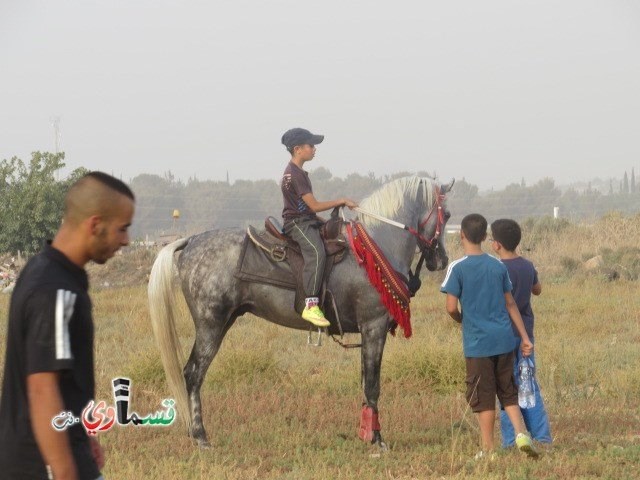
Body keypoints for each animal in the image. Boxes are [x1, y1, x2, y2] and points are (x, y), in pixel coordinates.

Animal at [148, 175, 452, 450]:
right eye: (447, 214)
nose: (442, 260)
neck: (375, 247)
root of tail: (190, 241)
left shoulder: (369, 333)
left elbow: (365, 383)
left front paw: (366, 434)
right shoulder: (374, 327)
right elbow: (373, 386)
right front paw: (377, 440)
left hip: (224, 322)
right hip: (210, 324)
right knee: (193, 374)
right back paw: (200, 437)